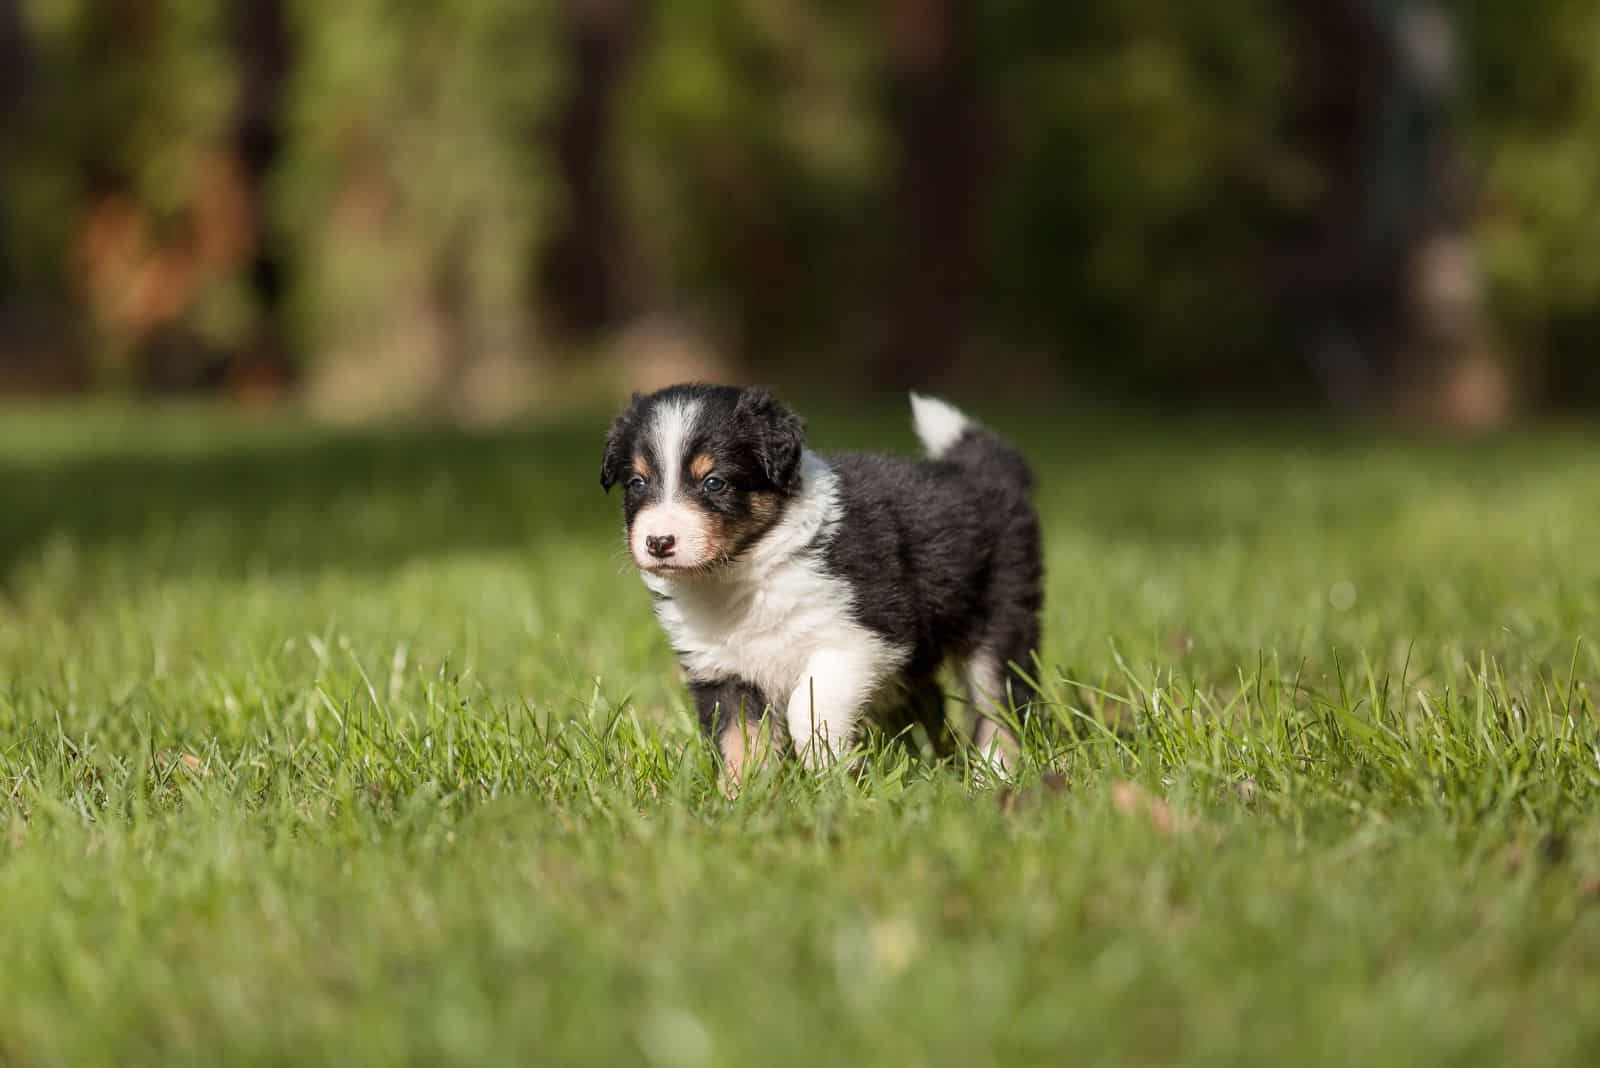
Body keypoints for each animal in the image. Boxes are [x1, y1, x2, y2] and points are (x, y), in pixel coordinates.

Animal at [604, 385, 1043, 783]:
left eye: (714, 482)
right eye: (637, 483)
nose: (659, 542)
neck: (745, 572)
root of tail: (982, 472)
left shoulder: (860, 638)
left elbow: (808, 706)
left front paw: (829, 769)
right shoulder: (723, 669)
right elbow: (738, 741)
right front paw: (744, 800)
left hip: (1002, 615)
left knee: (999, 704)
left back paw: (994, 776)